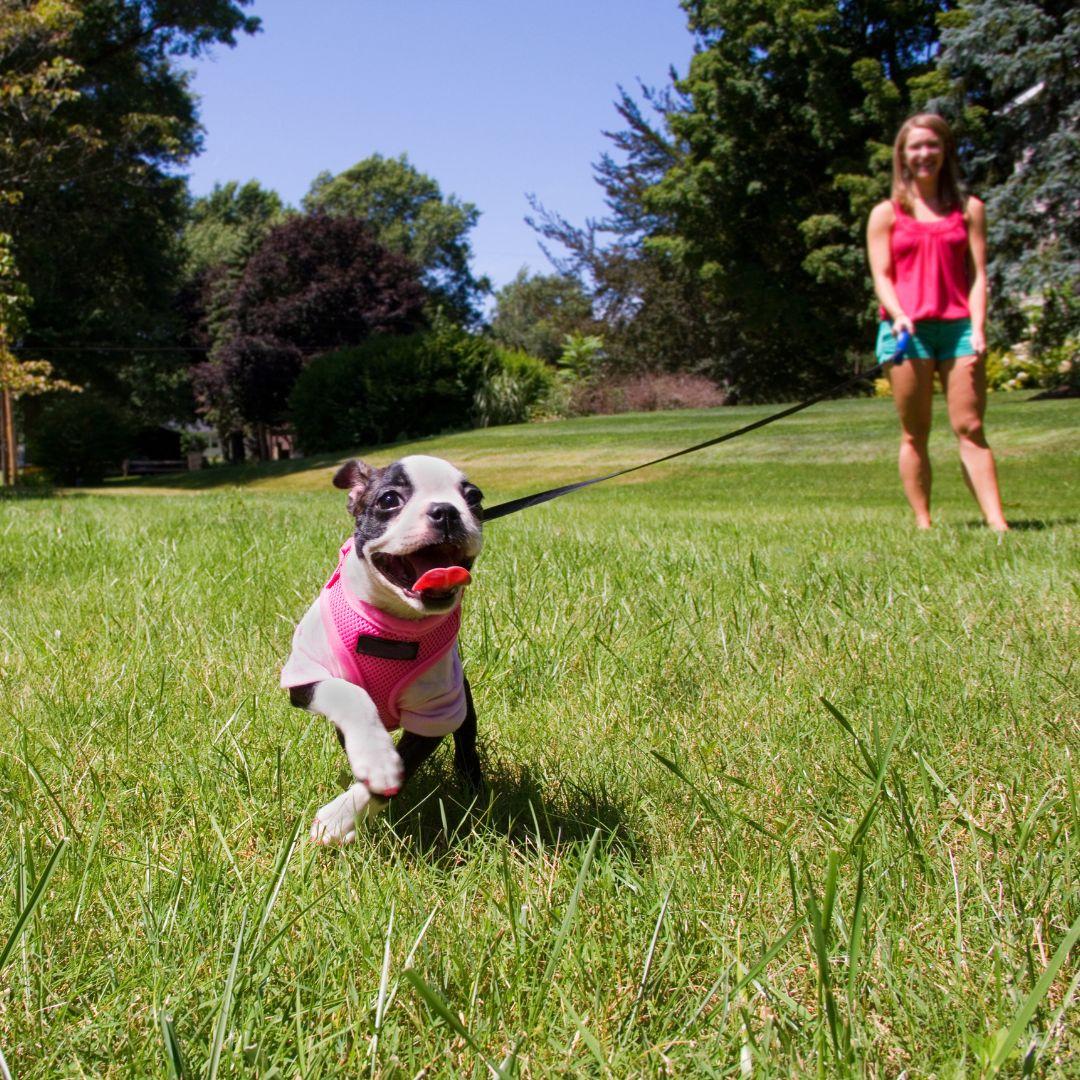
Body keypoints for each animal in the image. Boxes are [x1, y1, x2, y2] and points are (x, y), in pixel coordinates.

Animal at [280, 453, 483, 842]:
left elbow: (402, 765)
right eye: (389, 499)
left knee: (467, 736)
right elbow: (350, 694)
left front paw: (340, 817)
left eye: (474, 498)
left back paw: (471, 782)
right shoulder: (305, 675)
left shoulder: (437, 710)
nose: (447, 511)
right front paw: (374, 756)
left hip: (461, 696)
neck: (391, 626)